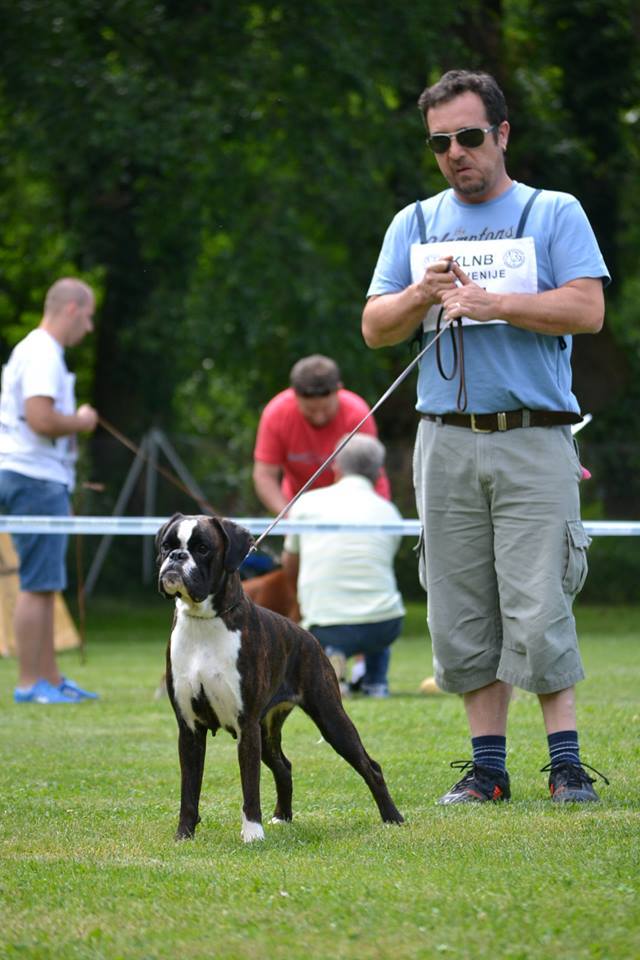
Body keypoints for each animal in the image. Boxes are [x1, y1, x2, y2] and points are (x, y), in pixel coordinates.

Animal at [156, 512, 402, 844]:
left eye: (202, 548)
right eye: (166, 546)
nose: (176, 557)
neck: (205, 621)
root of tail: (308, 636)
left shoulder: (245, 727)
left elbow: (250, 787)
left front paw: (252, 834)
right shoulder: (190, 730)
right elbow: (189, 790)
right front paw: (184, 835)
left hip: (330, 718)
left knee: (370, 766)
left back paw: (393, 817)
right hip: (267, 732)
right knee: (283, 766)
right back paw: (282, 816)